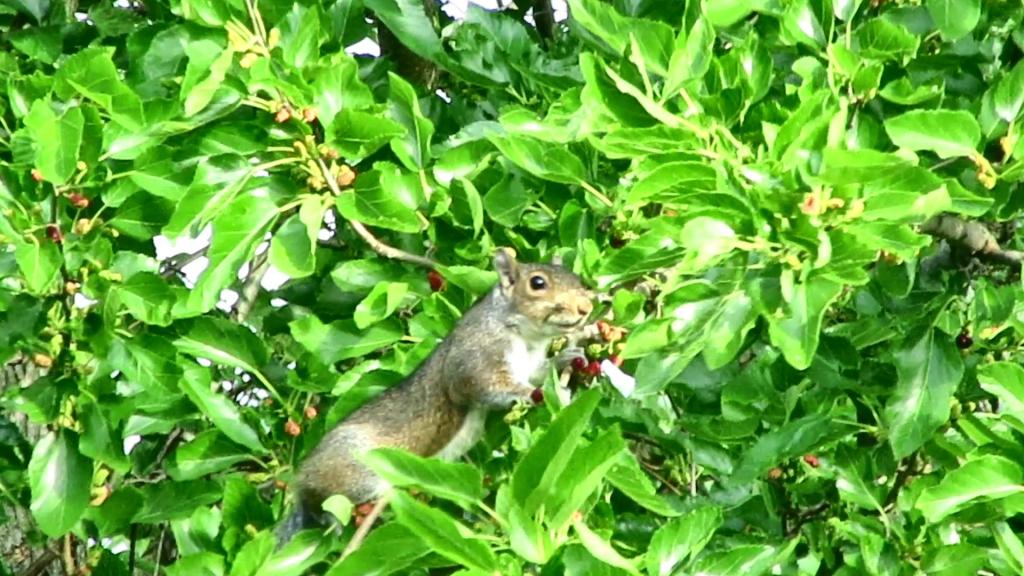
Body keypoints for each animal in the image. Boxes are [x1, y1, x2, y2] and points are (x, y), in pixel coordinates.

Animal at [277, 248, 594, 544]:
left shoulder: (530, 362)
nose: (586, 307)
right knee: (320, 499)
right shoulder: (474, 358)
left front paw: (564, 359)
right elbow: (486, 387)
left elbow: (539, 372)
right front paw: (529, 393)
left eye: (577, 279)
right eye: (537, 283)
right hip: (355, 466)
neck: (526, 337)